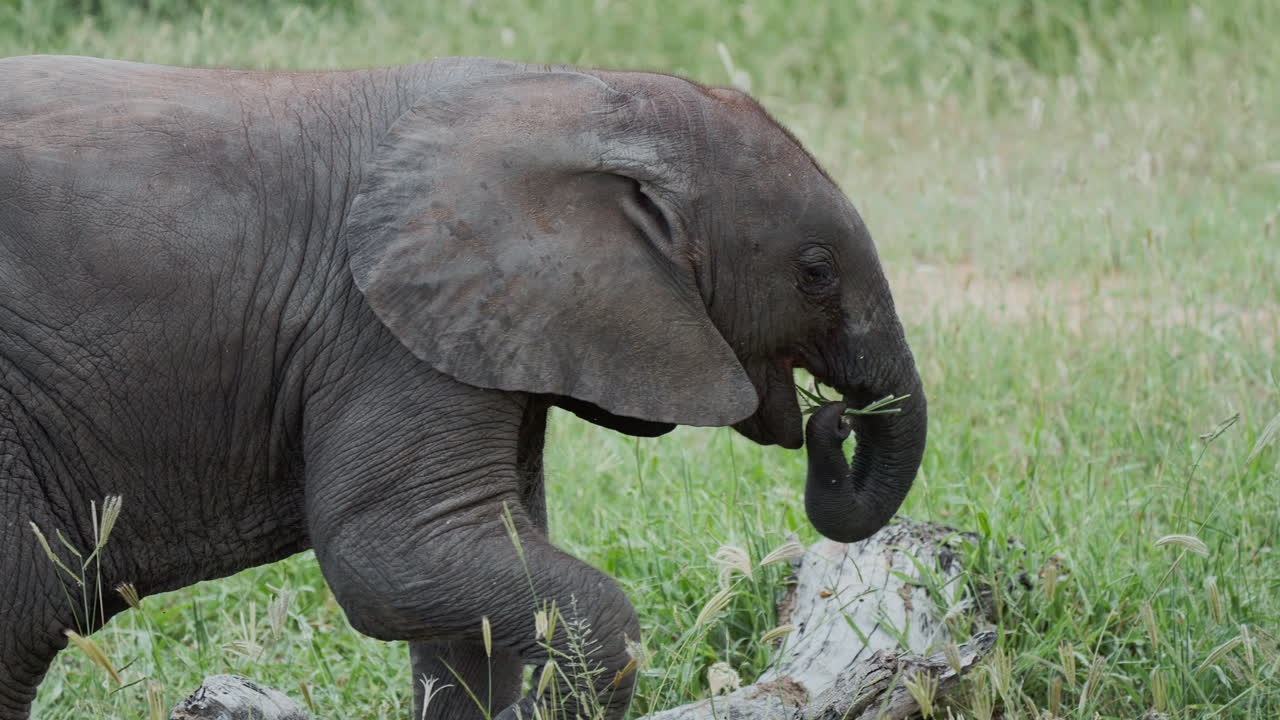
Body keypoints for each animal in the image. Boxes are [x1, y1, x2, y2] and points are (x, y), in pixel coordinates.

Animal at [0, 54, 926, 719]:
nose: (837, 419)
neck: (580, 92)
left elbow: (476, 598)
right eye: (815, 272)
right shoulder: (381, 330)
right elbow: (395, 554)